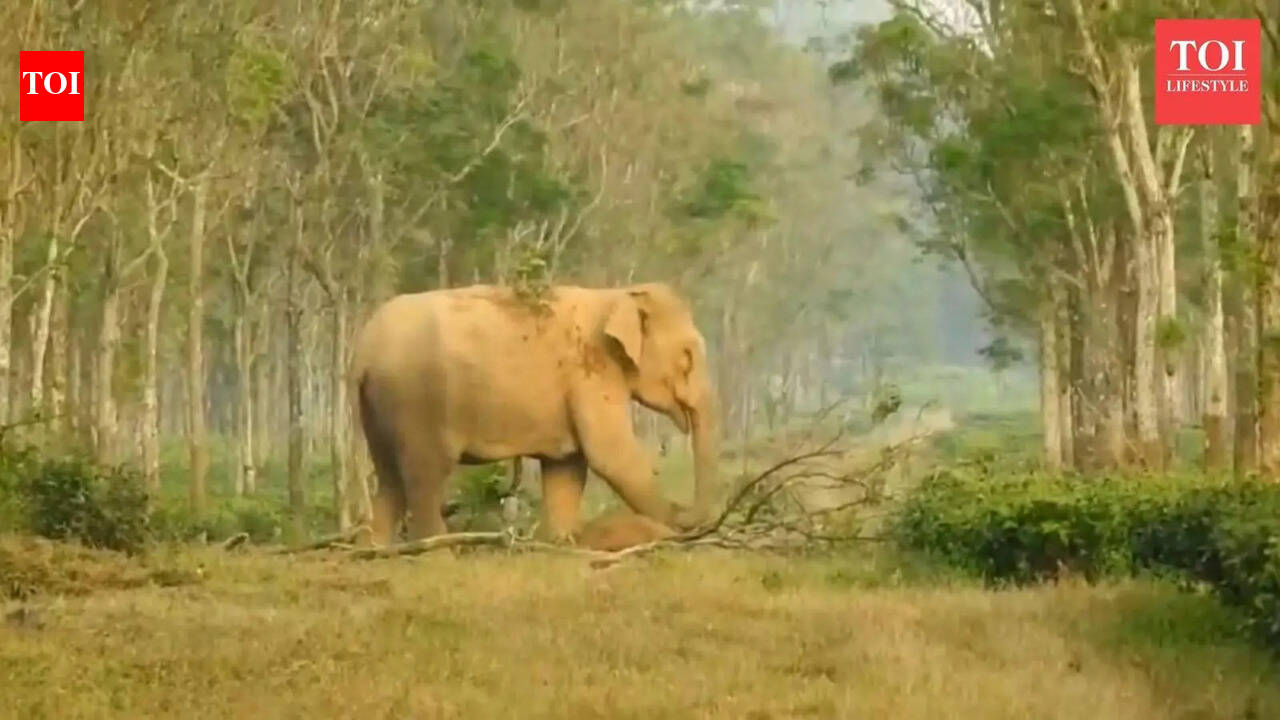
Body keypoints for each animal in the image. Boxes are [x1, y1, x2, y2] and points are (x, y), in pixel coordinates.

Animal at [349, 282, 721, 546]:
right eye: (687, 356)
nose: (685, 513)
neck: (616, 295)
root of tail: (365, 348)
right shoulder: (590, 372)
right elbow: (611, 456)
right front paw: (672, 531)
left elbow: (567, 466)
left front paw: (559, 543)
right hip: (418, 401)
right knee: (424, 475)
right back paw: (437, 553)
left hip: (378, 405)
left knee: (388, 476)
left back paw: (376, 550)